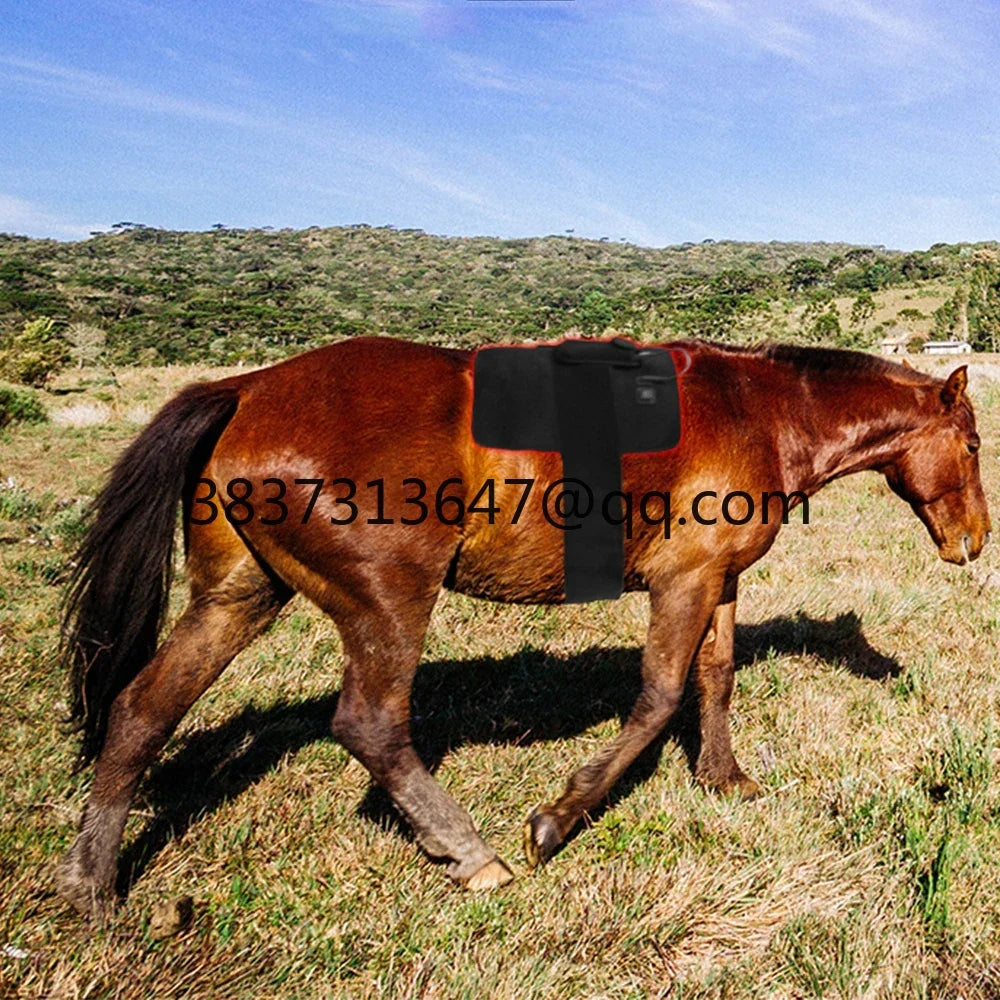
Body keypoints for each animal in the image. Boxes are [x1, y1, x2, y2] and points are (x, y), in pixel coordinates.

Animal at [55, 336, 990, 920]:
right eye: (976, 446)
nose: (975, 542)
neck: (756, 411)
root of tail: (246, 388)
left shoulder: (717, 579)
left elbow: (715, 680)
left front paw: (724, 779)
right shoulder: (682, 582)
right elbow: (657, 698)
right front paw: (561, 816)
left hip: (239, 598)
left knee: (141, 710)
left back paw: (91, 886)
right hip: (387, 602)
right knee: (371, 726)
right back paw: (470, 853)